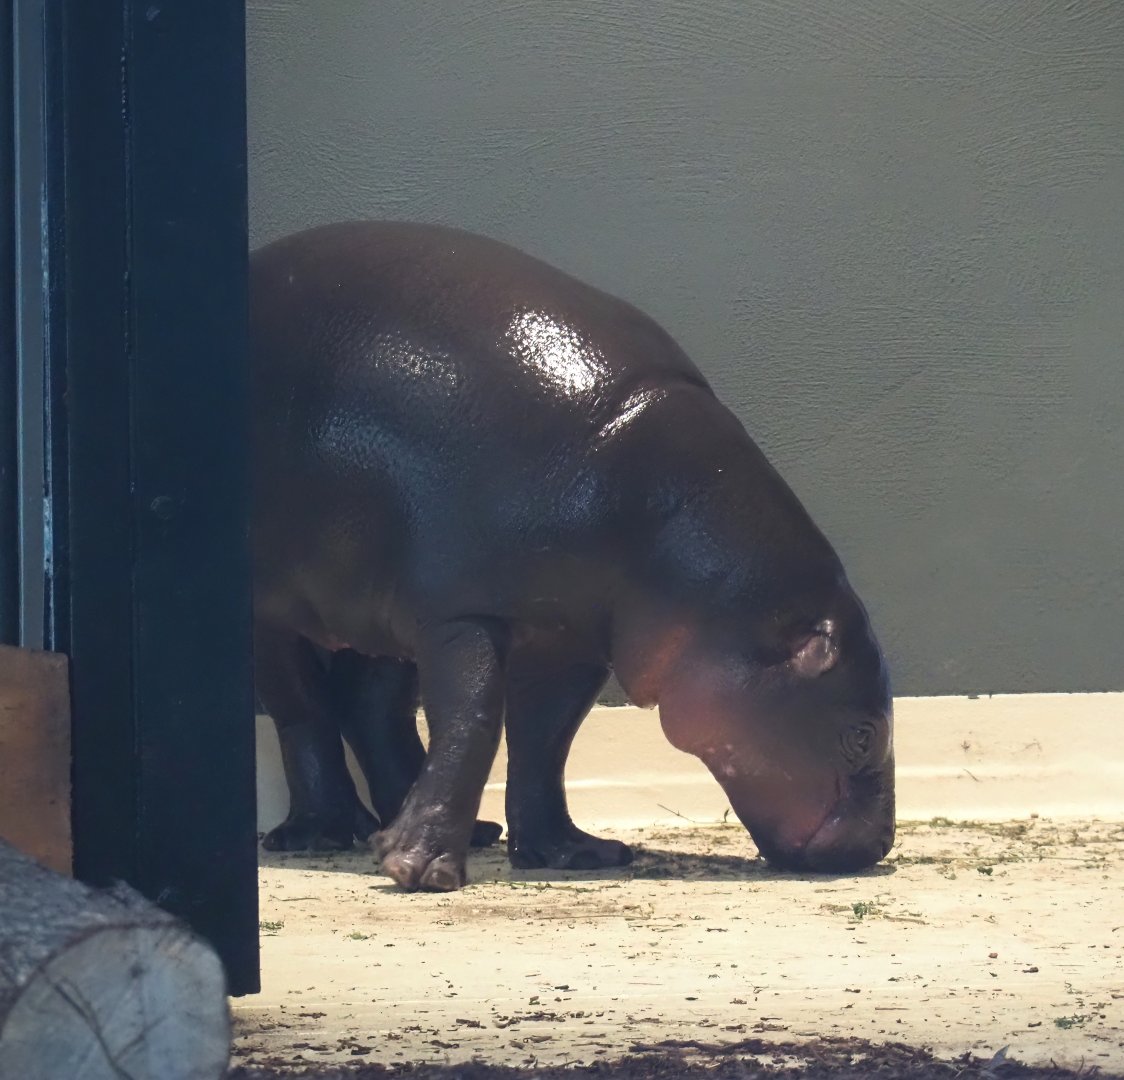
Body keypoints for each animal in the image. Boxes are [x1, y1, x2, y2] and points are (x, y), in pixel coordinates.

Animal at [251, 221, 895, 892]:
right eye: (862, 734)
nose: (881, 845)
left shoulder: (568, 638)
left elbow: (546, 741)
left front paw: (573, 851)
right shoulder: (461, 612)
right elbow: (476, 718)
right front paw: (421, 870)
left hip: (374, 604)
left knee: (373, 706)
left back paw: (444, 830)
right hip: (277, 608)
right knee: (302, 709)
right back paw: (320, 834)